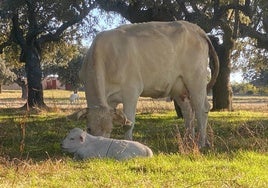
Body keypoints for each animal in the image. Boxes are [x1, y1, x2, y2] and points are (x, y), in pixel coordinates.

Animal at [78, 20, 219, 147]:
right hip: (179, 87)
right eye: (89, 129)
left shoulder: (131, 91)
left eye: (109, 129)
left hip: (196, 79)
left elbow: (129, 123)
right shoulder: (110, 101)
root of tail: (196, 28)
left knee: (202, 108)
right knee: (188, 111)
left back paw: (201, 143)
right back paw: (188, 141)